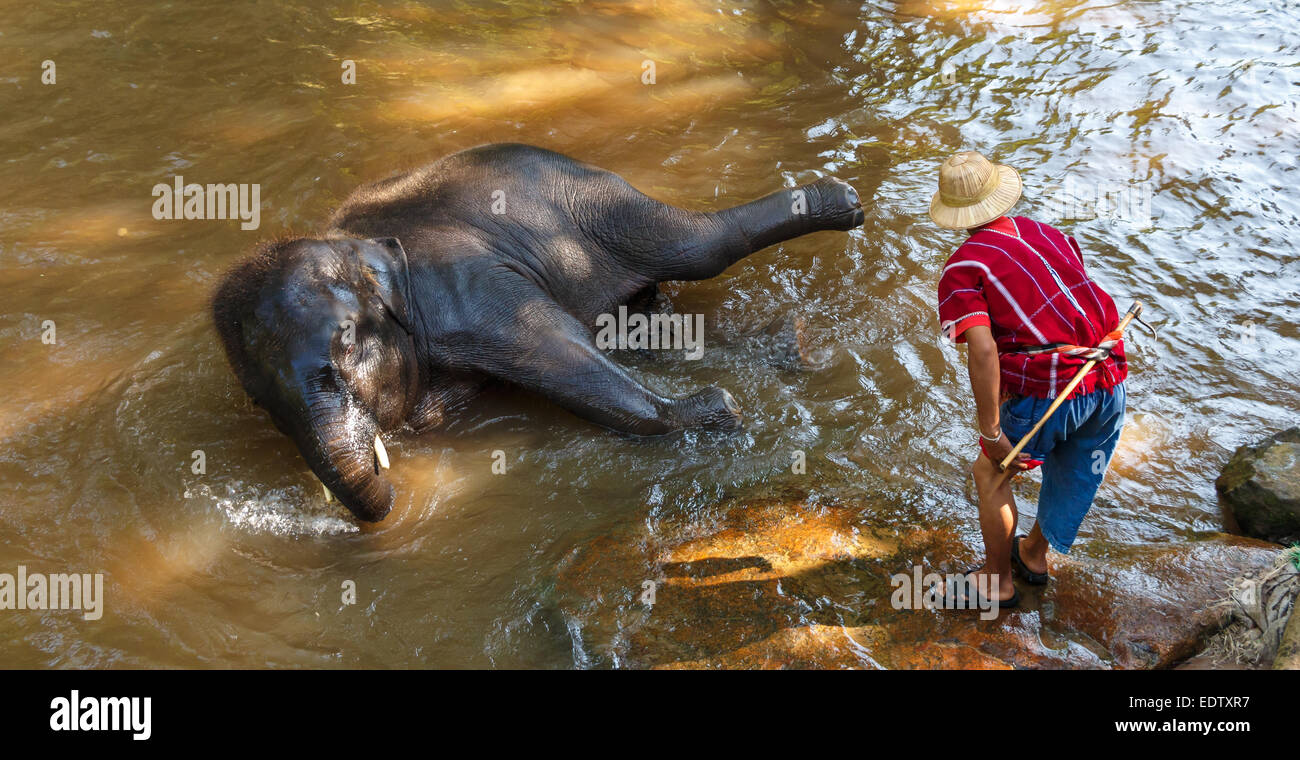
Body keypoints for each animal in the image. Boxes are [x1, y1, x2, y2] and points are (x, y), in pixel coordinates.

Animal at [212, 143, 863, 521]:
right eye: (259, 402)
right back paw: (794, 344)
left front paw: (716, 413)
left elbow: (549, 342)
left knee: (699, 245)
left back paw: (844, 203)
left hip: (600, 207)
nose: (388, 485)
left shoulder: (461, 281)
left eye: (346, 346)